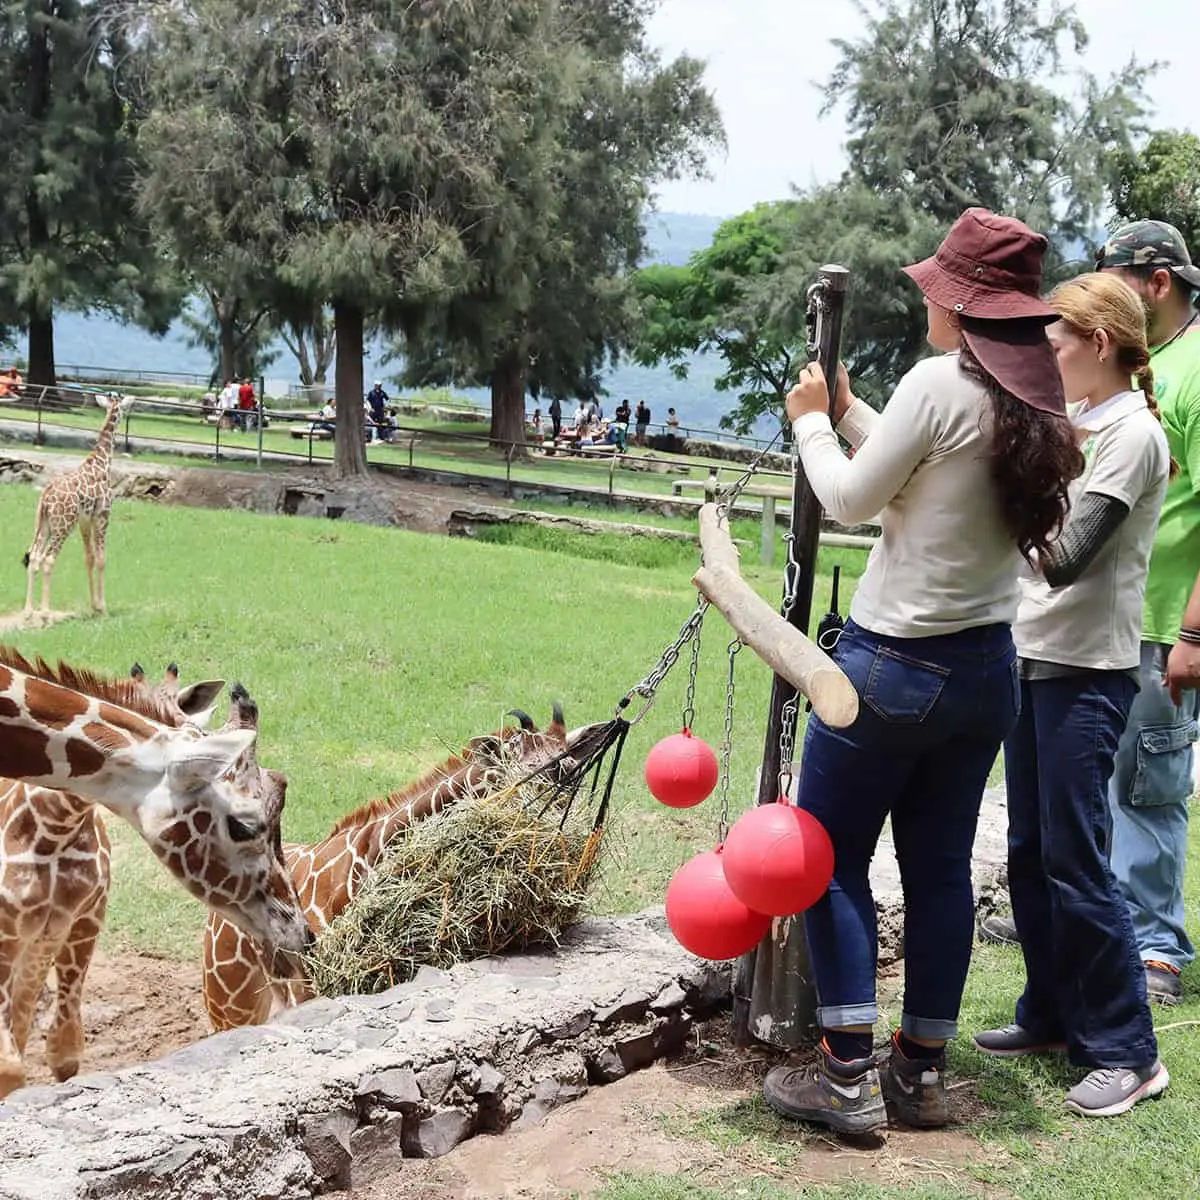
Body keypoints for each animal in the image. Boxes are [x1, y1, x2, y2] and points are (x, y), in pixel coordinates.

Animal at [23, 393, 133, 624]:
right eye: (124, 409)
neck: (102, 462)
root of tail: (46, 498)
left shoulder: (85, 520)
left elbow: (88, 558)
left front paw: (94, 607)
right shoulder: (102, 515)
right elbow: (101, 559)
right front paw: (103, 608)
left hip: (44, 524)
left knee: (34, 557)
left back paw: (28, 612)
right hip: (63, 525)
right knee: (48, 559)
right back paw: (45, 614)